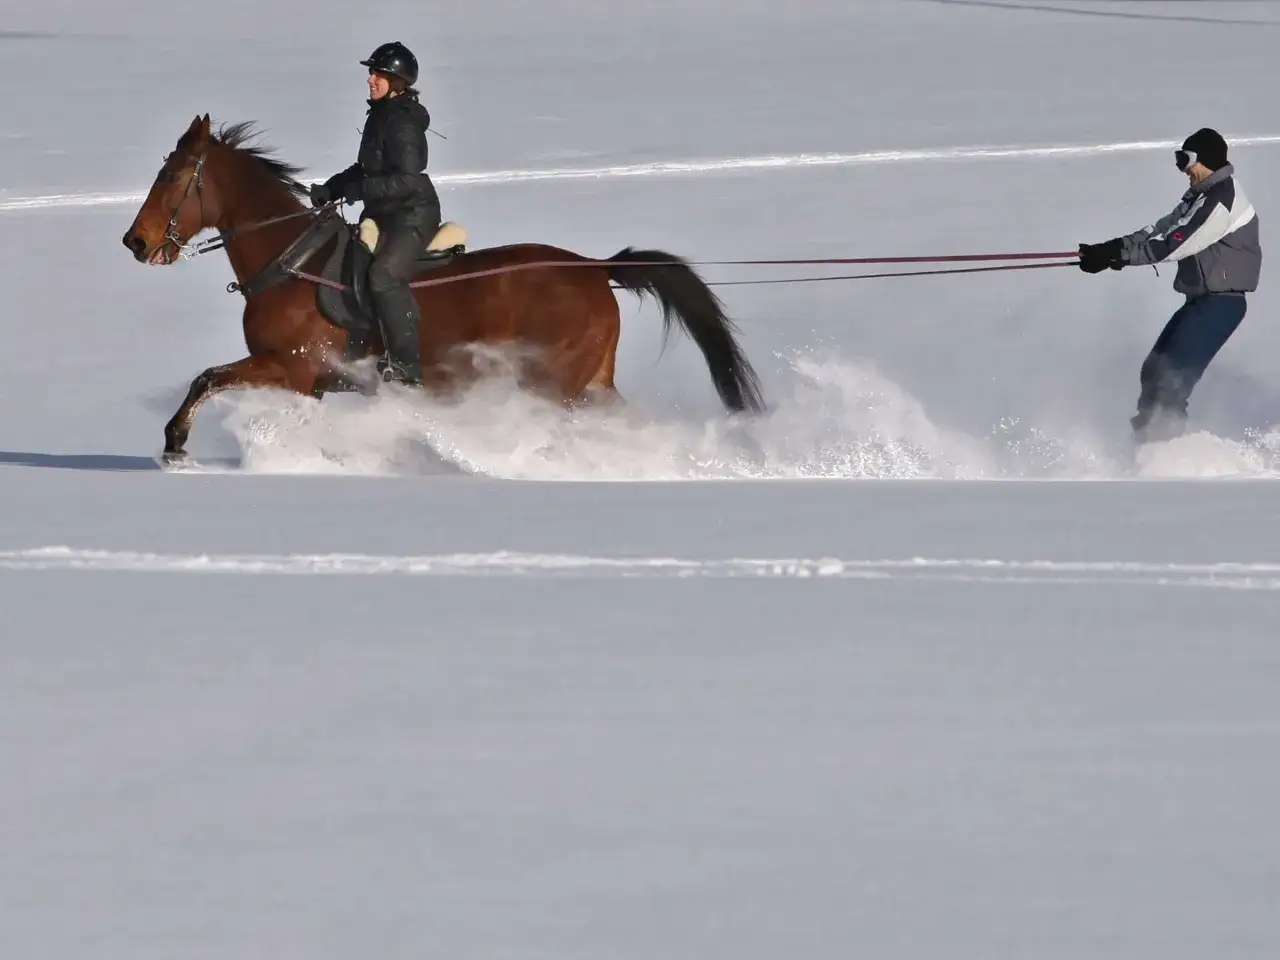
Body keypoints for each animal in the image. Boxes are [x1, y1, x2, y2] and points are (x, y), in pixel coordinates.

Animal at [121, 114, 765, 463]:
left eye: (173, 177)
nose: (136, 242)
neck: (293, 261)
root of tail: (591, 267)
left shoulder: (291, 369)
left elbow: (208, 378)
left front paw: (176, 441)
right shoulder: (311, 382)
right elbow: (209, 379)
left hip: (557, 384)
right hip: (591, 383)